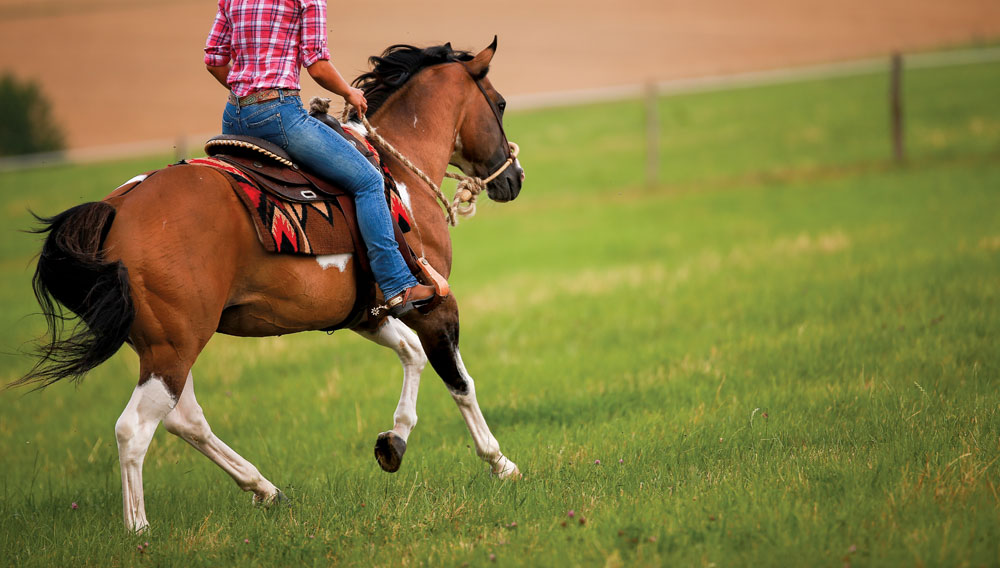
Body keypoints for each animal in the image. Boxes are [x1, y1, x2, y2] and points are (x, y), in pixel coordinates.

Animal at [15, 38, 528, 532]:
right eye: (500, 103)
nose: (515, 178)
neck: (397, 176)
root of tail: (117, 208)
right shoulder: (434, 304)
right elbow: (460, 382)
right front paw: (500, 462)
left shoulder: (368, 313)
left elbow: (412, 355)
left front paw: (393, 443)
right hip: (174, 347)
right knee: (134, 428)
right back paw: (139, 530)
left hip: (165, 345)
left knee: (185, 420)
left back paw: (264, 489)